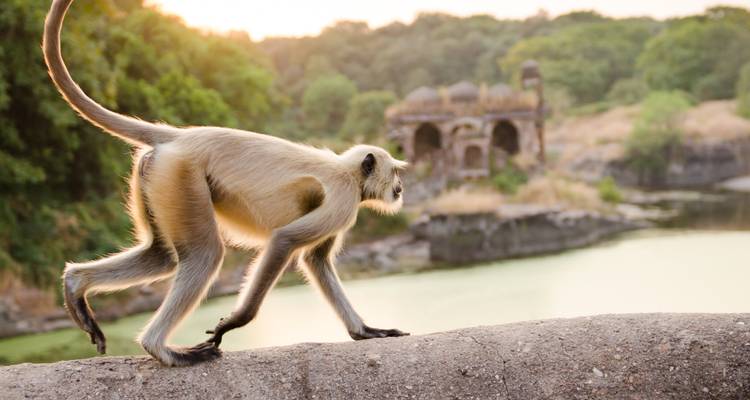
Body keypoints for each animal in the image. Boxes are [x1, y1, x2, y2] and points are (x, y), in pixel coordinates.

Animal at [44, 0, 409, 367]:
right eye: (395, 173)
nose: (401, 188)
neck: (347, 171)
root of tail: (180, 137)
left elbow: (315, 261)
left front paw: (364, 331)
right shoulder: (344, 200)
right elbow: (284, 240)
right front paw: (234, 322)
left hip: (157, 176)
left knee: (162, 256)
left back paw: (76, 284)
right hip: (182, 176)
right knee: (205, 253)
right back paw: (160, 348)